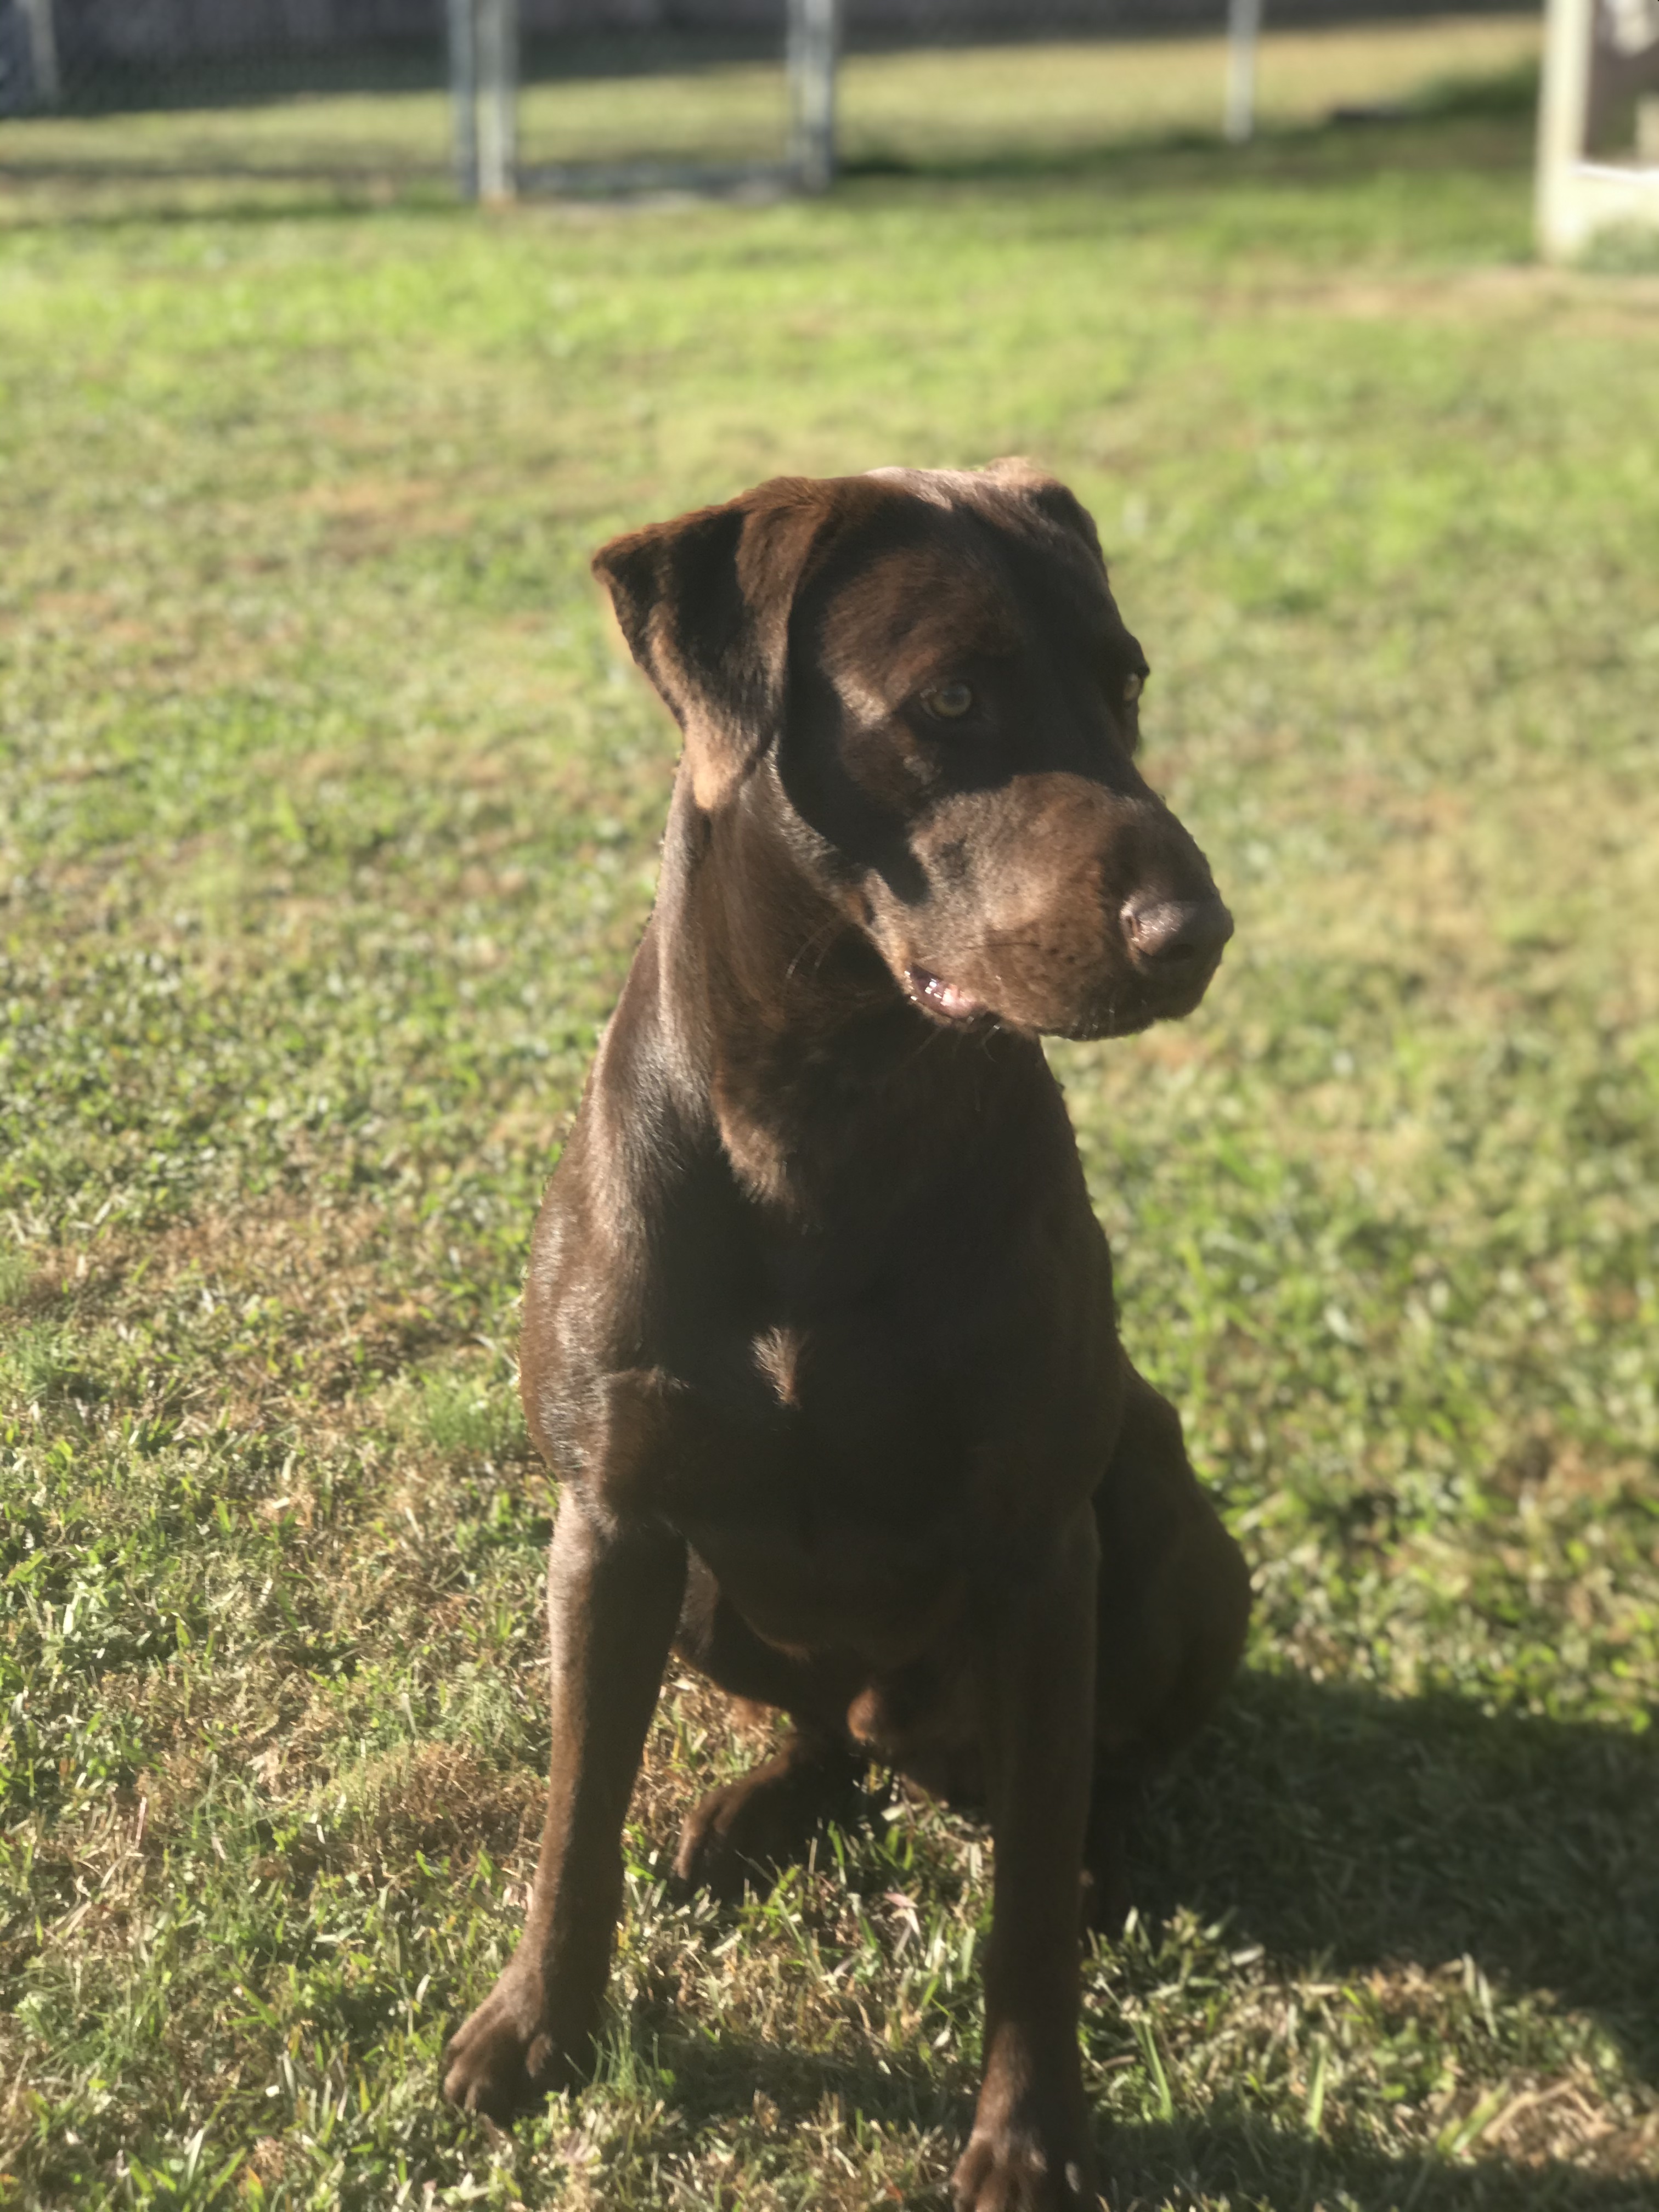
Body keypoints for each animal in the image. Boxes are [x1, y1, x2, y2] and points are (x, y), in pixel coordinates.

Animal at [442, 458, 1248, 2203]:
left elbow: (1024, 1908)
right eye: (949, 701)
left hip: (1162, 1516)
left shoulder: (1042, 1551)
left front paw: (1030, 2128)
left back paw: (1104, 1861)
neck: (823, 1099)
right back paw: (757, 1808)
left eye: (1127, 684)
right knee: (822, 1730)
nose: (1199, 932)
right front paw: (538, 2027)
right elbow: (572, 1816)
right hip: (704, 1592)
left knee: (1094, 1773)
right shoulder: (610, 1525)